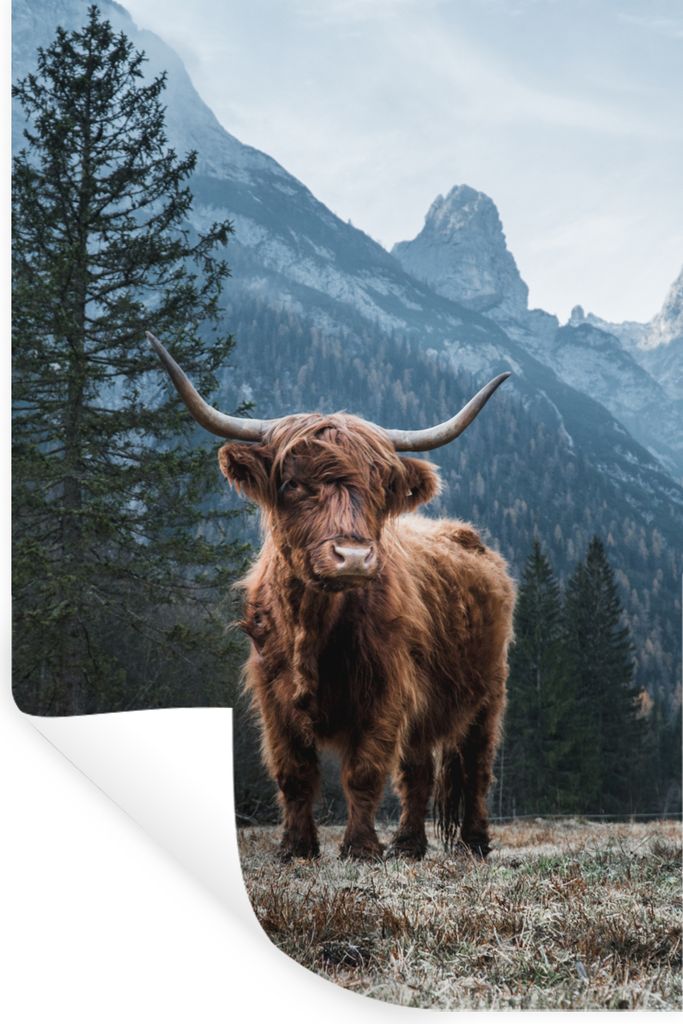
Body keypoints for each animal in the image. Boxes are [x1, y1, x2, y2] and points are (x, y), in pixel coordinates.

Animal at [148, 332, 516, 862]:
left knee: (476, 767)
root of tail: (467, 535)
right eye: (292, 483)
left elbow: (363, 772)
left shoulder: (386, 690)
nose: (354, 557)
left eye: (380, 487)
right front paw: (296, 848)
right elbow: (294, 773)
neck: (312, 625)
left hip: (489, 692)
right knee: (419, 772)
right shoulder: (272, 694)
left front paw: (360, 847)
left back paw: (474, 843)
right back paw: (408, 845)